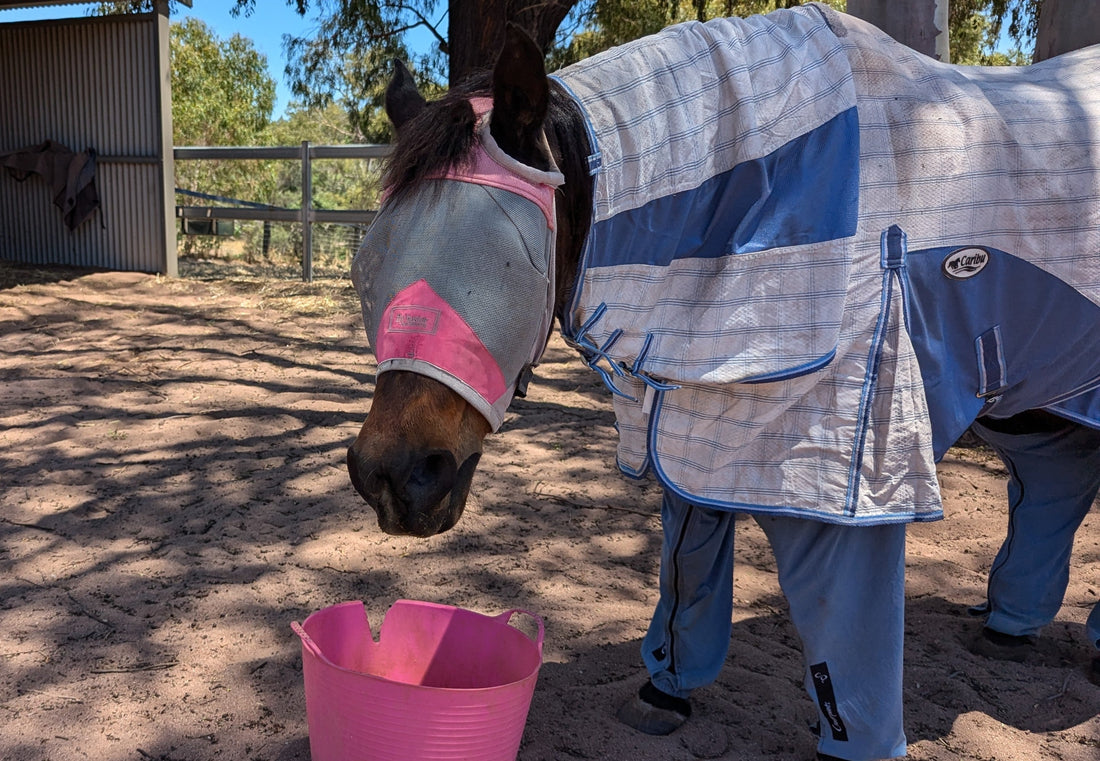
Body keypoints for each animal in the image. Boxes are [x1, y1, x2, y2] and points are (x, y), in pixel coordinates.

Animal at [346, 5, 1100, 759]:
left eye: (506, 260)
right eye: (368, 261)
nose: (392, 476)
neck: (758, 200)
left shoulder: (849, 463)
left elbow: (845, 615)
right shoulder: (694, 417)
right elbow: (690, 564)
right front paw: (664, 690)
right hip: (1035, 401)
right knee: (1053, 481)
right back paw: (1010, 625)